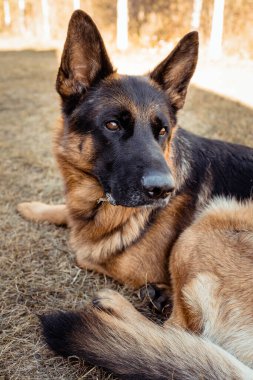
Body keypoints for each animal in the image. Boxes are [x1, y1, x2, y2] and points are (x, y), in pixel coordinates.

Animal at [18, 10, 253, 378]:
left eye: (163, 131)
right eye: (113, 124)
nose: (164, 189)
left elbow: (84, 251)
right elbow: (65, 212)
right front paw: (34, 207)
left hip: (206, 226)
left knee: (175, 335)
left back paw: (117, 305)